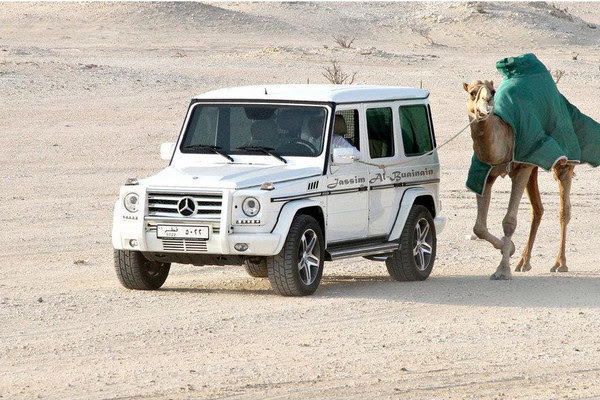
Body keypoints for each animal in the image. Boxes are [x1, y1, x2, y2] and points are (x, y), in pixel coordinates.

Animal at [463, 80, 575, 280]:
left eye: (492, 91)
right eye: (472, 92)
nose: (487, 104)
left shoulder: (521, 169)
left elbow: (509, 221)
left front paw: (502, 270)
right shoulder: (485, 174)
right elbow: (479, 227)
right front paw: (509, 249)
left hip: (562, 163)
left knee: (564, 209)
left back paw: (559, 263)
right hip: (534, 167)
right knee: (537, 209)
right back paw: (523, 262)